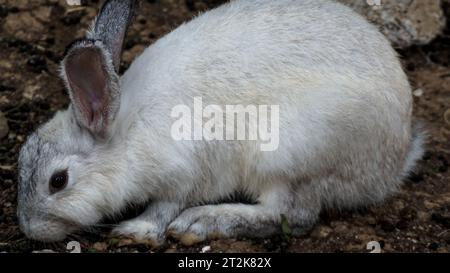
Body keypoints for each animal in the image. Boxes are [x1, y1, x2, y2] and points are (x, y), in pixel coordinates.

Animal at [18, 0, 426, 244]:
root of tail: (392, 166)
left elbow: (164, 207)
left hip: (289, 155)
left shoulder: (183, 173)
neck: (125, 128)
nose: (30, 229)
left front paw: (137, 230)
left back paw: (202, 222)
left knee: (291, 214)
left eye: (58, 181)